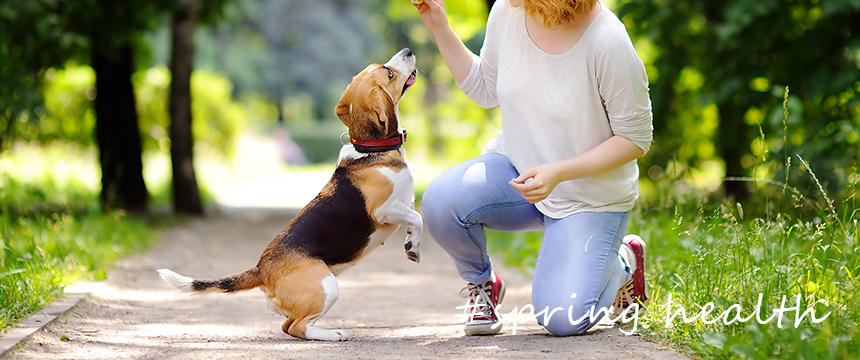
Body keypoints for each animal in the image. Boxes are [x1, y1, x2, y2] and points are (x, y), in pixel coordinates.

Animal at [159, 47, 424, 340]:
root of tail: (261, 269)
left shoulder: (405, 203)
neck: (371, 149)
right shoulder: (384, 210)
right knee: (299, 327)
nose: (408, 51)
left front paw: (410, 243)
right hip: (327, 286)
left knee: (288, 326)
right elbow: (417, 218)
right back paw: (333, 334)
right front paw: (413, 248)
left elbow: (415, 217)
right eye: (389, 73)